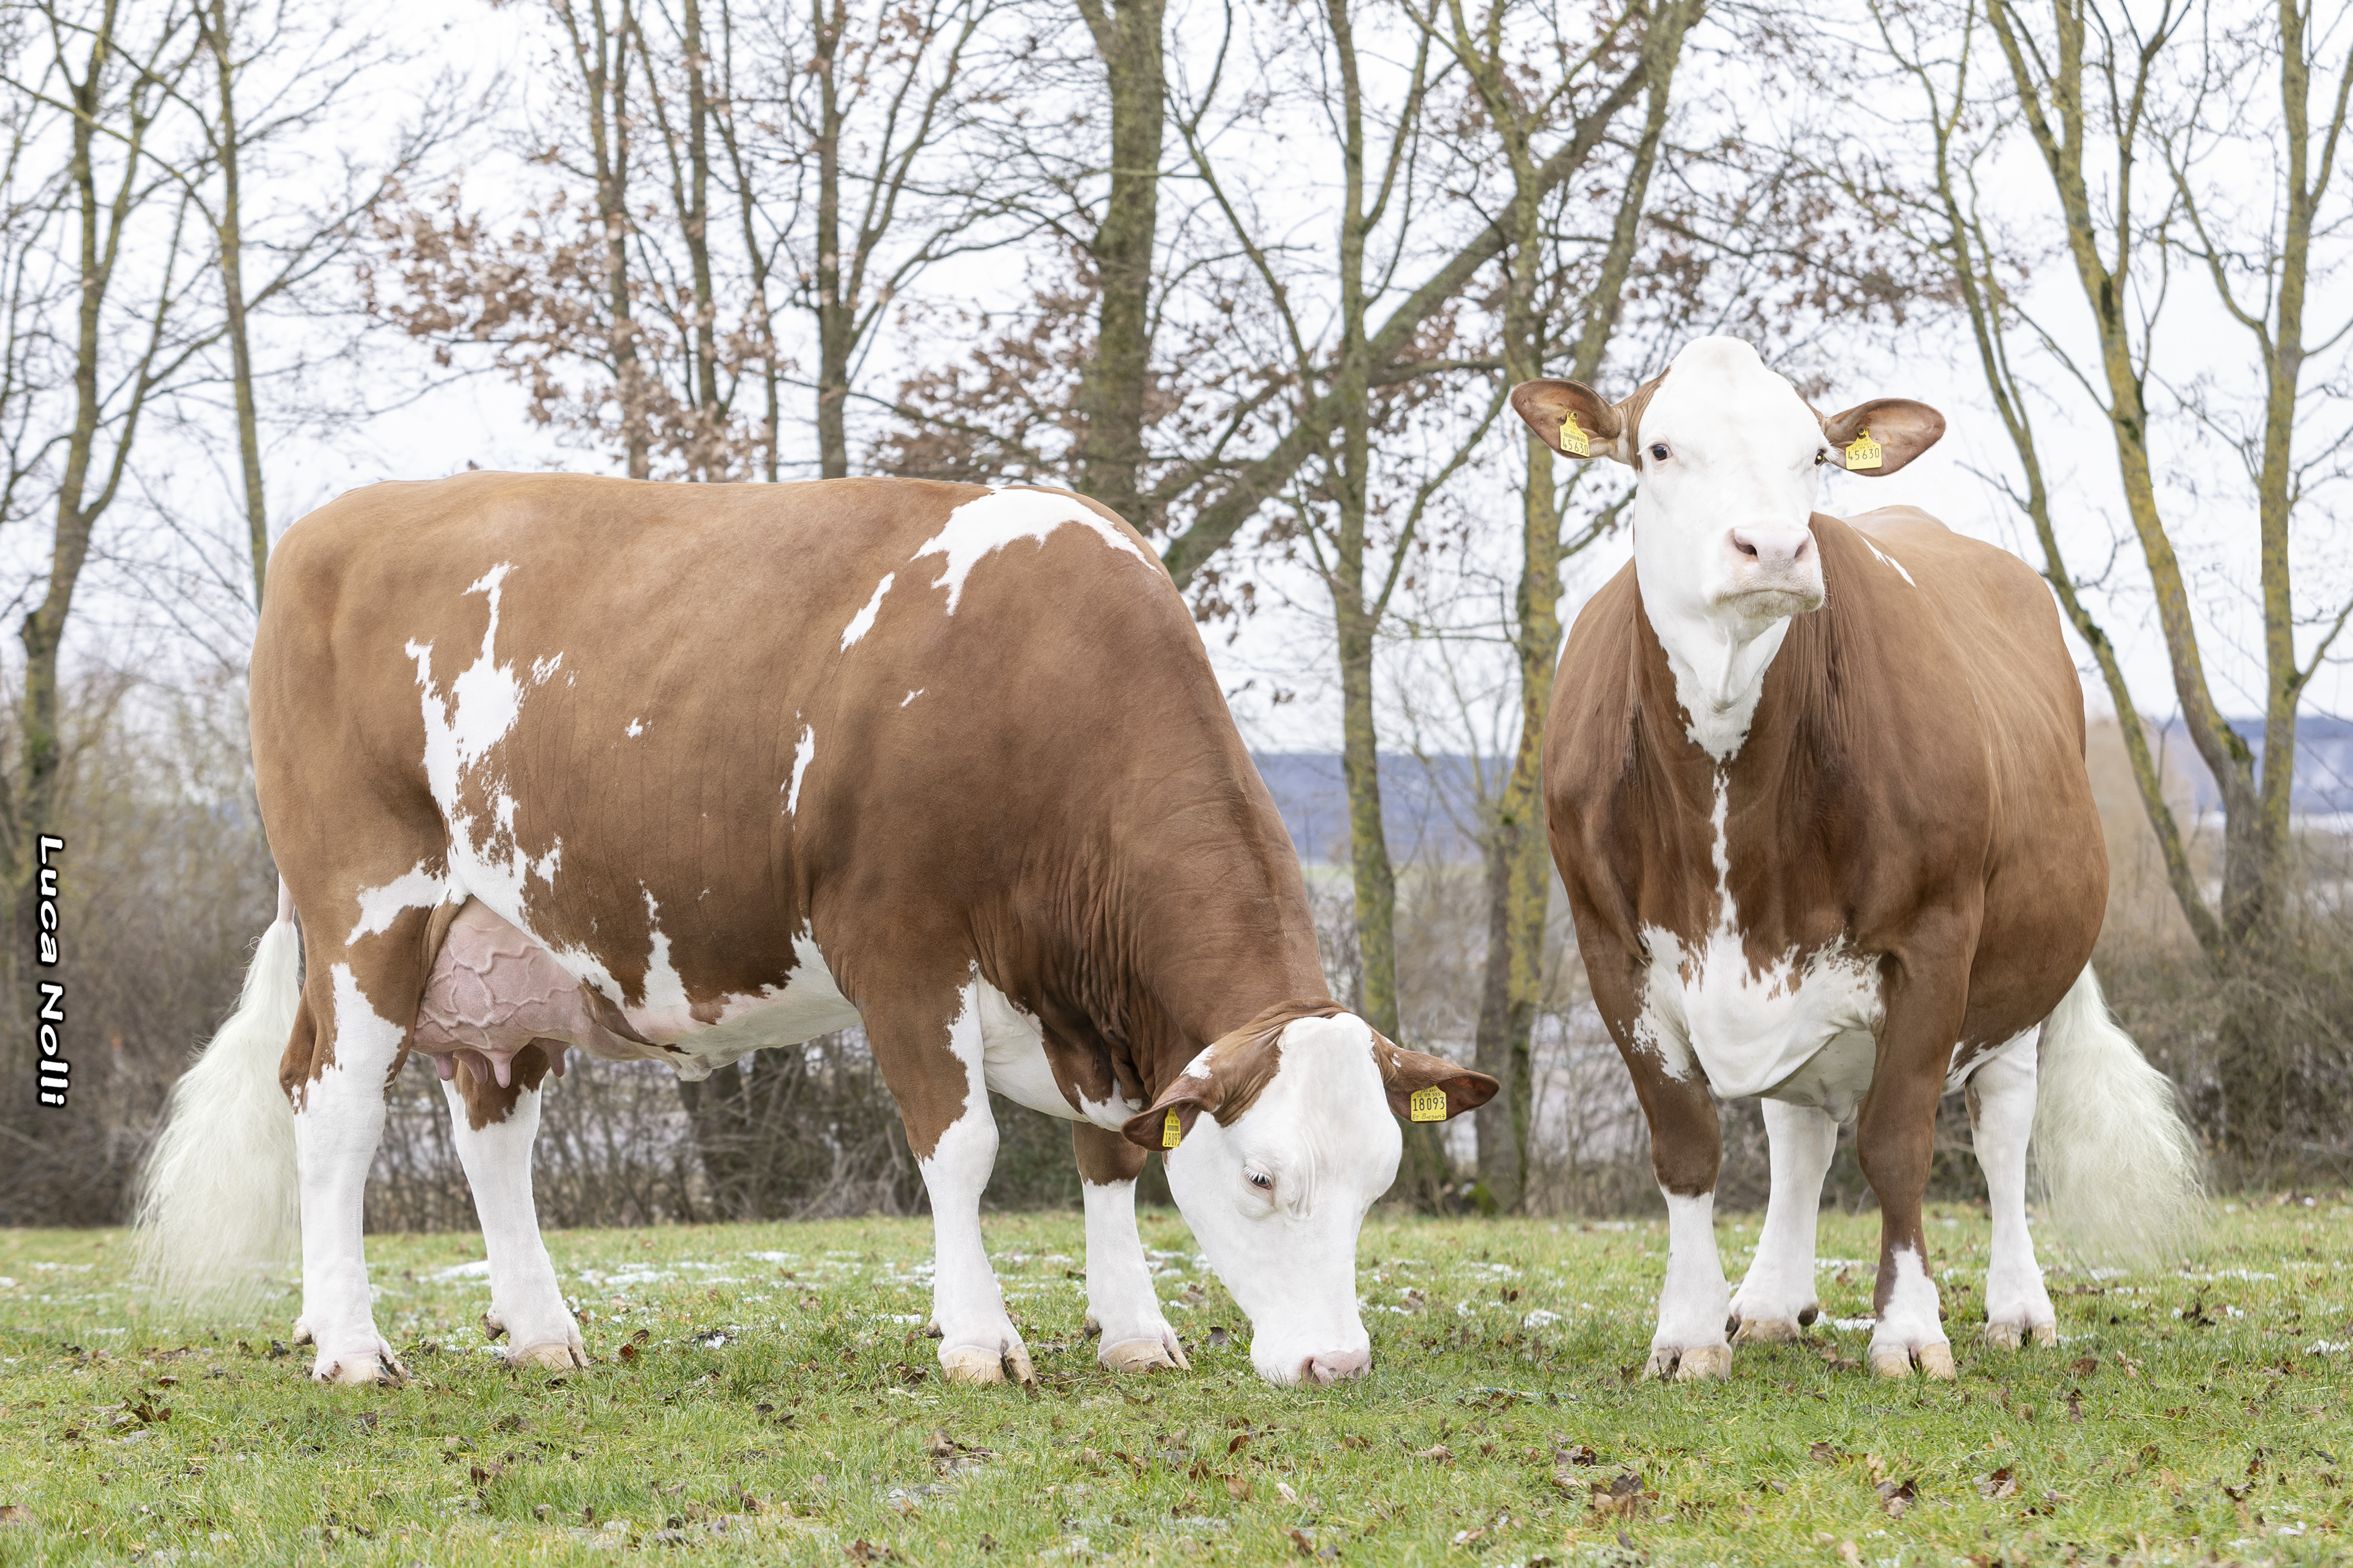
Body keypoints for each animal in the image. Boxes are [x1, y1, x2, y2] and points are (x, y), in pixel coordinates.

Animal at [133, 475, 1487, 1382]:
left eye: (1380, 1178)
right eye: (1261, 1176)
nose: (1336, 1364)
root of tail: (340, 518)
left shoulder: (1091, 1021)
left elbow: (1111, 1152)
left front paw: (1137, 1330)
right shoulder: (901, 945)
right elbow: (963, 1150)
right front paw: (980, 1339)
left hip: (506, 953)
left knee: (492, 1128)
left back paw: (543, 1333)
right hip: (368, 912)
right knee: (335, 1110)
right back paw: (353, 1346)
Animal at [1515, 338, 2193, 1382]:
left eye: (1815, 456)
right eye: (1659, 448)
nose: (1773, 547)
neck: (1730, 798)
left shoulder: (1934, 939)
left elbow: (1897, 1141)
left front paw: (1909, 1331)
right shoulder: (1609, 950)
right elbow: (1686, 1145)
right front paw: (1687, 1333)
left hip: (2020, 980)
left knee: (2001, 1127)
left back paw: (2017, 1308)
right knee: (1798, 1130)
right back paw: (1766, 1302)